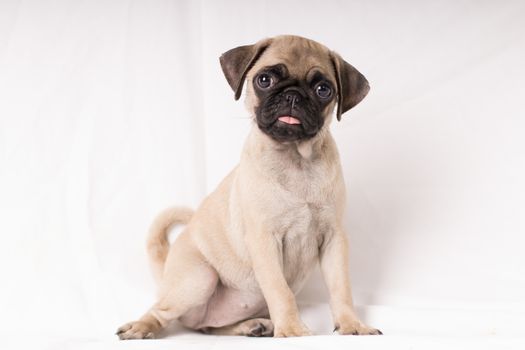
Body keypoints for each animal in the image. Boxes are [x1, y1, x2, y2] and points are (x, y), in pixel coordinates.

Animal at [116, 34, 380, 338]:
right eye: (264, 80)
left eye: (323, 89)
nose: (292, 95)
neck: (295, 159)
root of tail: (167, 274)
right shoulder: (264, 241)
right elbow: (280, 291)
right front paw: (292, 330)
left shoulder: (334, 239)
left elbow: (341, 289)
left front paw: (352, 325)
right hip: (198, 278)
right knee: (163, 311)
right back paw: (141, 327)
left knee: (208, 327)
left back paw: (252, 326)